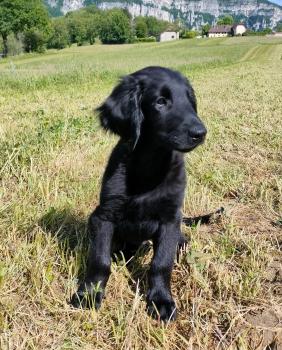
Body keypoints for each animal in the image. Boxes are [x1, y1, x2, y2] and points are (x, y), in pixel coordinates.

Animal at [70, 66, 207, 322]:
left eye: (190, 100)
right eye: (160, 101)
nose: (200, 133)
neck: (149, 167)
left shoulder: (170, 220)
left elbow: (161, 263)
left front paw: (161, 299)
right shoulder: (104, 217)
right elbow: (99, 260)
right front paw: (90, 293)